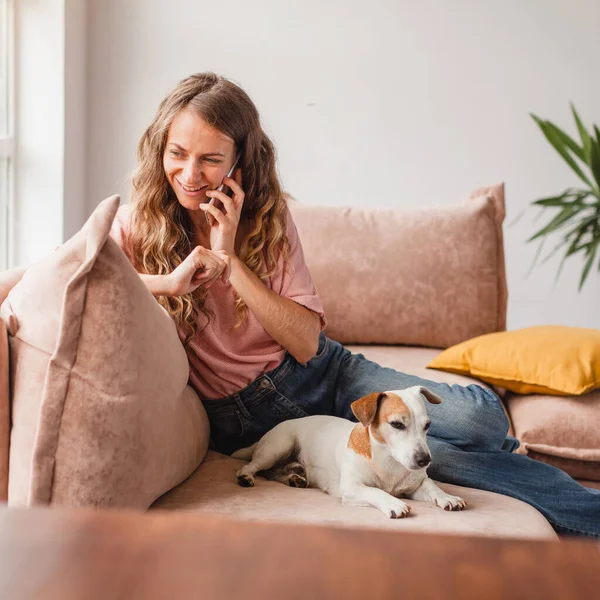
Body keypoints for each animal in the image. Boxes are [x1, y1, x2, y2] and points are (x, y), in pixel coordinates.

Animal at [232, 386, 466, 516]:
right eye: (397, 424)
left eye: (427, 425)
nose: (424, 460)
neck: (388, 461)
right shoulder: (352, 488)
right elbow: (376, 491)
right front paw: (393, 503)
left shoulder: (414, 486)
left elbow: (432, 486)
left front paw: (448, 497)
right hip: (278, 447)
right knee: (256, 467)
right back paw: (246, 476)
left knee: (272, 473)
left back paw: (294, 477)